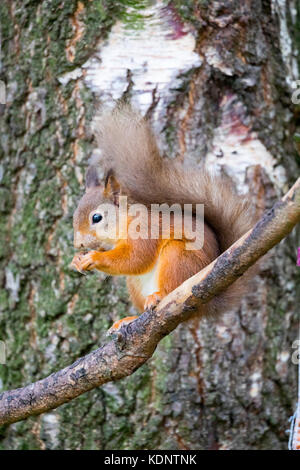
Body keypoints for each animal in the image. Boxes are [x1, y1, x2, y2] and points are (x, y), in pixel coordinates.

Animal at [70, 104, 255, 332]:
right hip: (135, 285)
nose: (78, 244)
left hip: (179, 258)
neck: (125, 221)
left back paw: (159, 296)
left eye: (96, 217)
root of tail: (207, 303)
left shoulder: (145, 231)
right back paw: (129, 319)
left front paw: (93, 258)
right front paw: (76, 260)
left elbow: (135, 258)